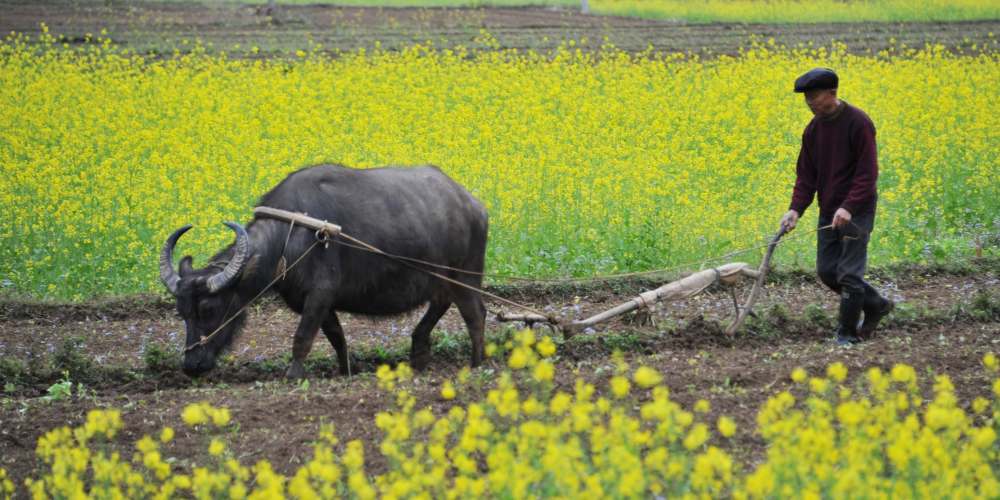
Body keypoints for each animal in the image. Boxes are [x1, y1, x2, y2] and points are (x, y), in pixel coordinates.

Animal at [158, 164, 490, 378]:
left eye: (209, 308)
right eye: (182, 313)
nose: (191, 366)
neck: (291, 235)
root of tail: (473, 204)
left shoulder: (320, 294)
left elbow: (303, 337)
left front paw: (293, 376)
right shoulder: (319, 303)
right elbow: (336, 337)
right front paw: (345, 372)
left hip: (465, 276)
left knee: (475, 314)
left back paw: (477, 364)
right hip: (442, 279)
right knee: (441, 305)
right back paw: (419, 352)